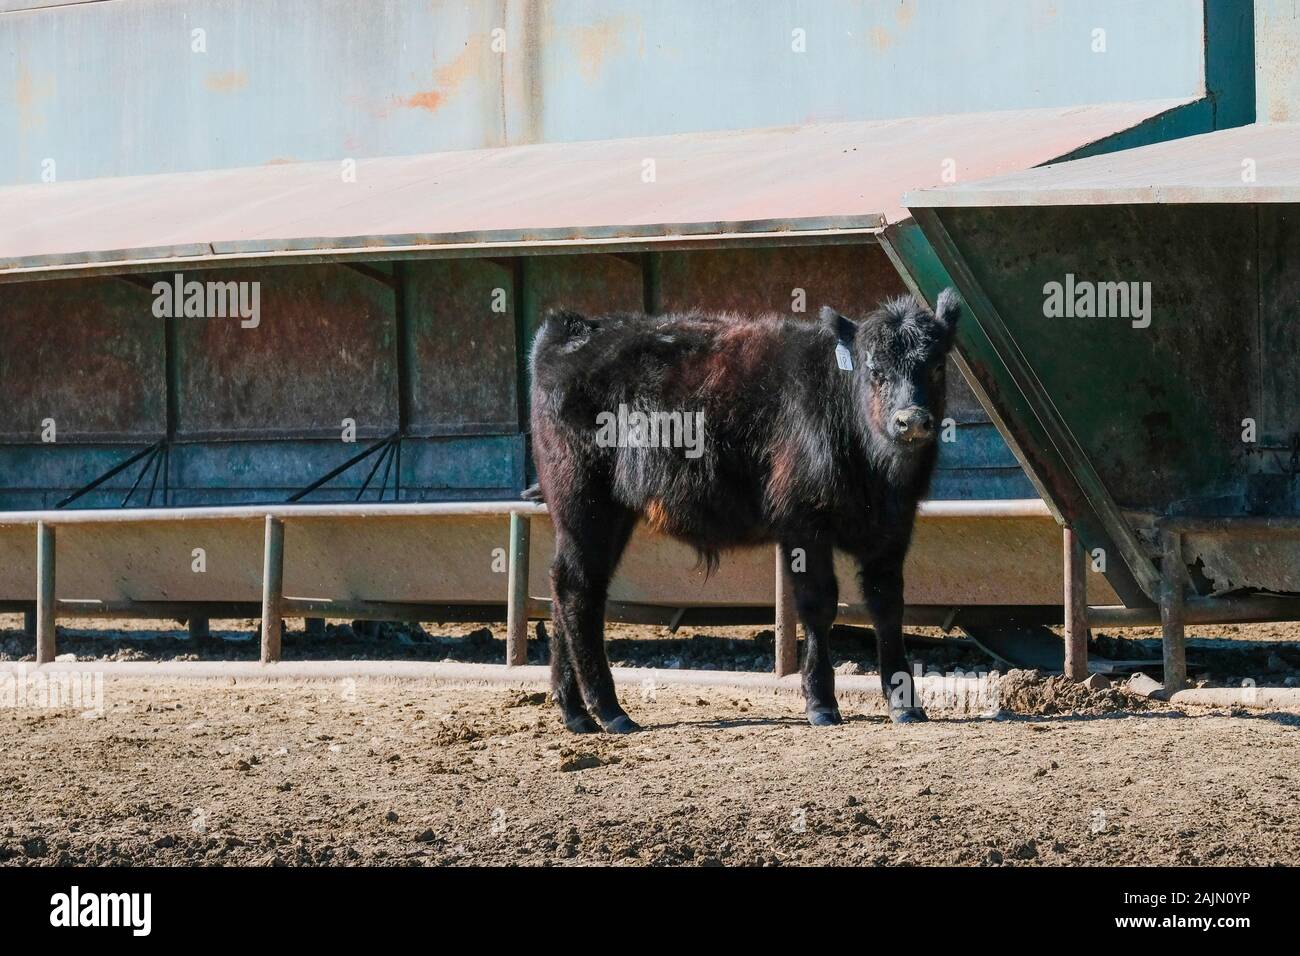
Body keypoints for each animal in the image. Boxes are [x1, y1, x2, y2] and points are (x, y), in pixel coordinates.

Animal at [526, 290, 962, 733]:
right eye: (875, 369)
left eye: (937, 365)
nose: (911, 421)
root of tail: (575, 327)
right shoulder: (803, 525)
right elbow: (818, 606)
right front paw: (821, 703)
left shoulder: (894, 529)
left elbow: (887, 606)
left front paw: (904, 703)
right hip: (582, 501)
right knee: (577, 588)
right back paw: (610, 710)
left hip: (606, 514)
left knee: (572, 587)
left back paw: (576, 712)